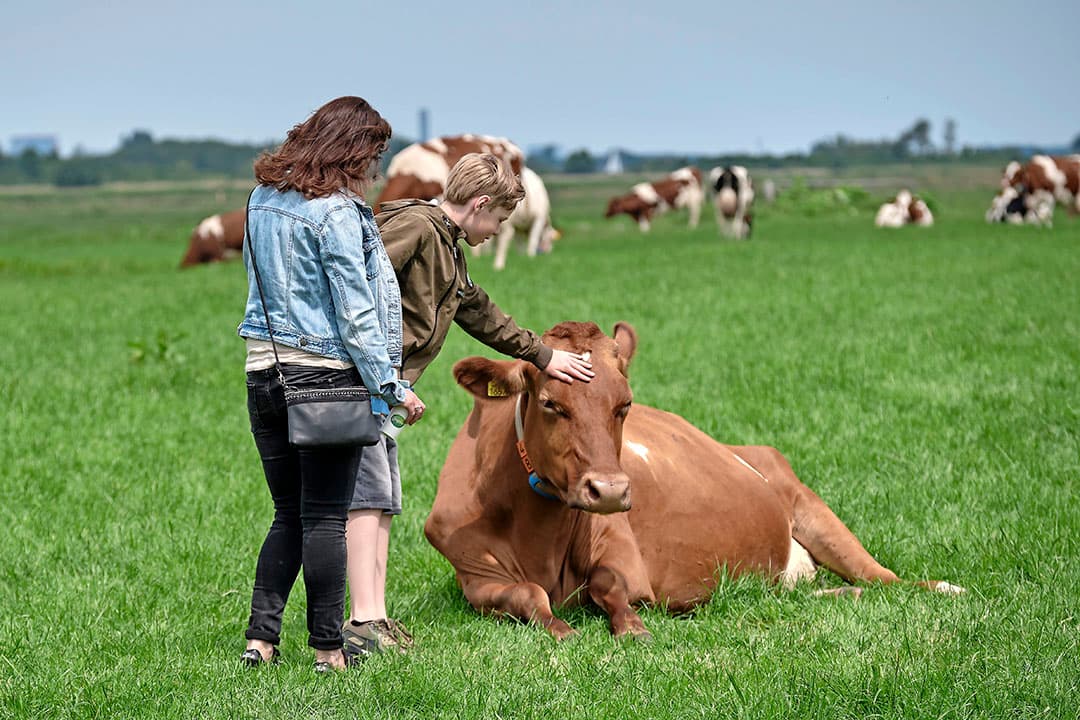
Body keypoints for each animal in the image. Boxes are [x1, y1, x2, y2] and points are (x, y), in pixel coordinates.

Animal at [425, 321, 964, 641]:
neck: (536, 531)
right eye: (550, 403)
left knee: (885, 580)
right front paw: (561, 627)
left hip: (808, 506)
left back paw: (944, 588)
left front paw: (633, 625)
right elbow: (526, 596)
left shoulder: (622, 554)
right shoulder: (474, 579)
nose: (611, 490)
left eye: (624, 404)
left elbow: (608, 583)